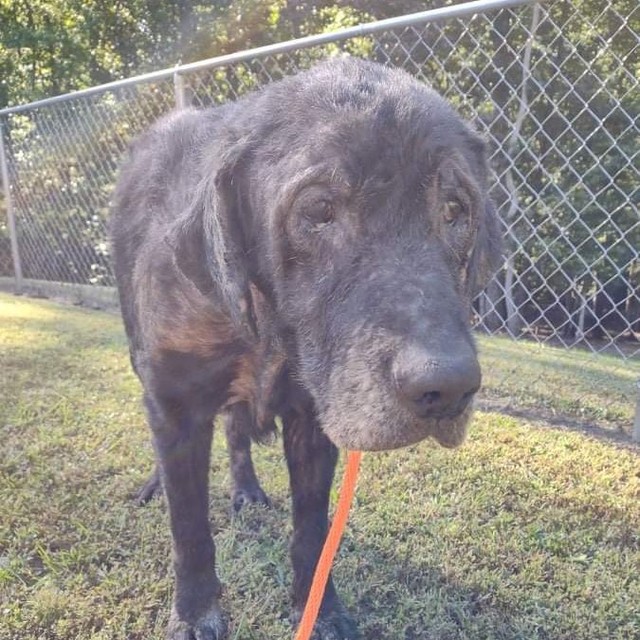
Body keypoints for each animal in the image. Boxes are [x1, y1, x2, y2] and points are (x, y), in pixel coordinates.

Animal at [111, 57, 500, 636]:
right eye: (319, 209)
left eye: (454, 209)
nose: (448, 387)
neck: (269, 330)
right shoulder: (176, 399)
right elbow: (189, 527)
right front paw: (195, 611)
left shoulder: (314, 419)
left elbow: (313, 532)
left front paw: (320, 610)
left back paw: (246, 489)